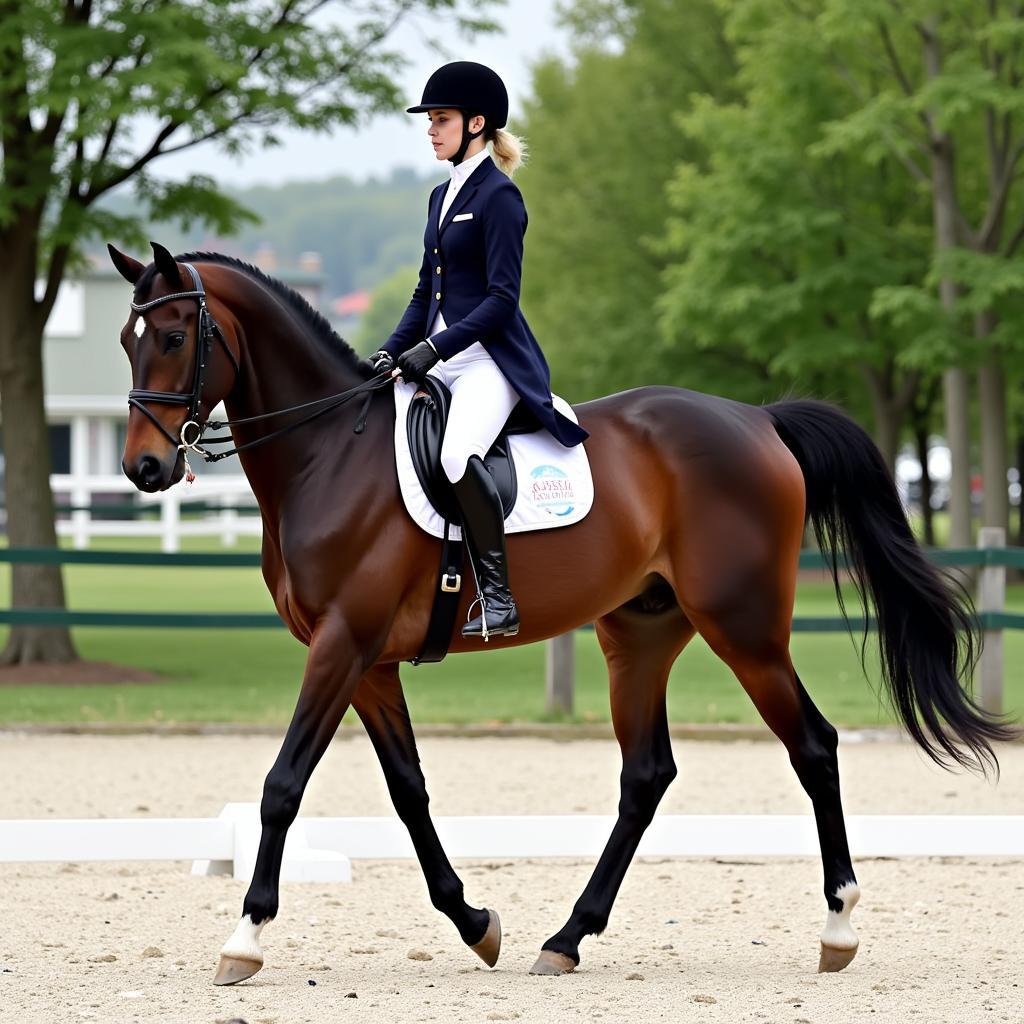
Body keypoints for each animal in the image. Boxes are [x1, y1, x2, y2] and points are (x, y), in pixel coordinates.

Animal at [108, 239, 1011, 983]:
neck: (329, 453)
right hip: (640, 634)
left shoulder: (342, 645)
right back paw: (567, 937)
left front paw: (245, 939)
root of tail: (757, 419)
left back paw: (838, 929)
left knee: (814, 748)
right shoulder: (369, 661)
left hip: (745, 630)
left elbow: (283, 784)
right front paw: (475, 923)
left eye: (176, 337)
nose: (146, 469)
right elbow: (409, 791)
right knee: (647, 774)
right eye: (126, 339)